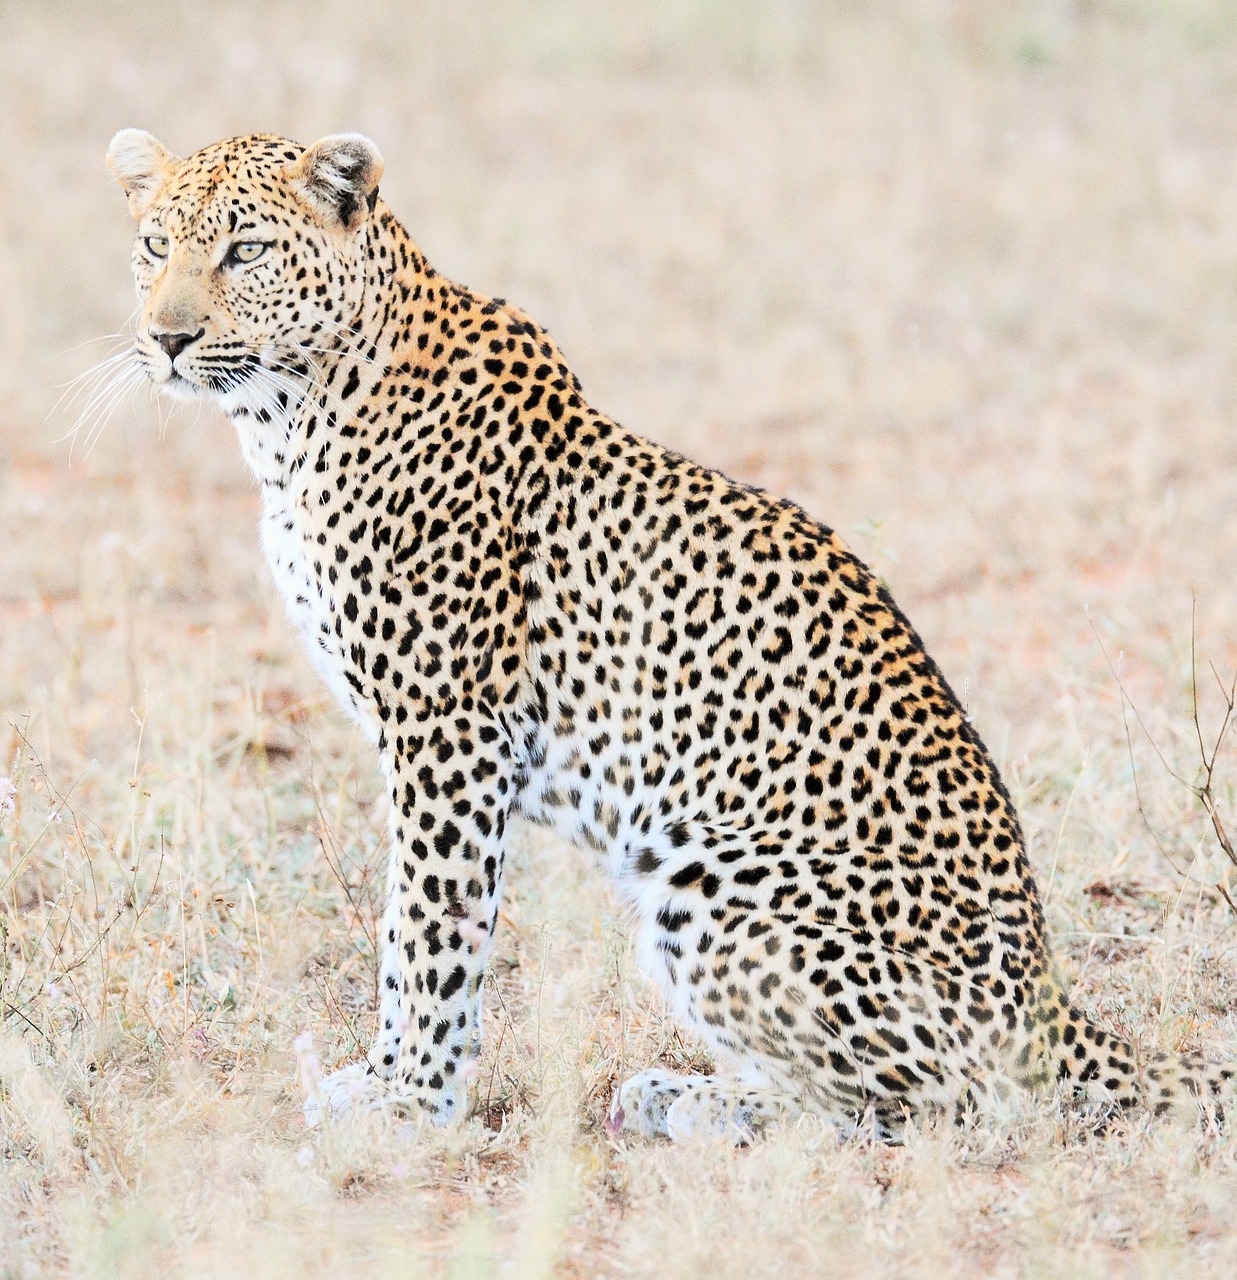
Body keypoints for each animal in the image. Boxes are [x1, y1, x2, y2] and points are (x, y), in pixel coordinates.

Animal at [101, 129, 1234, 1141]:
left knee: (949, 1103)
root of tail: (1053, 1004)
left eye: (246, 251)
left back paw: (697, 1102)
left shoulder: (449, 727)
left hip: (714, 885)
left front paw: (408, 1099)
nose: (166, 337)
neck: (287, 419)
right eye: (155, 246)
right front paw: (398, 1086)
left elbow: (424, 928)